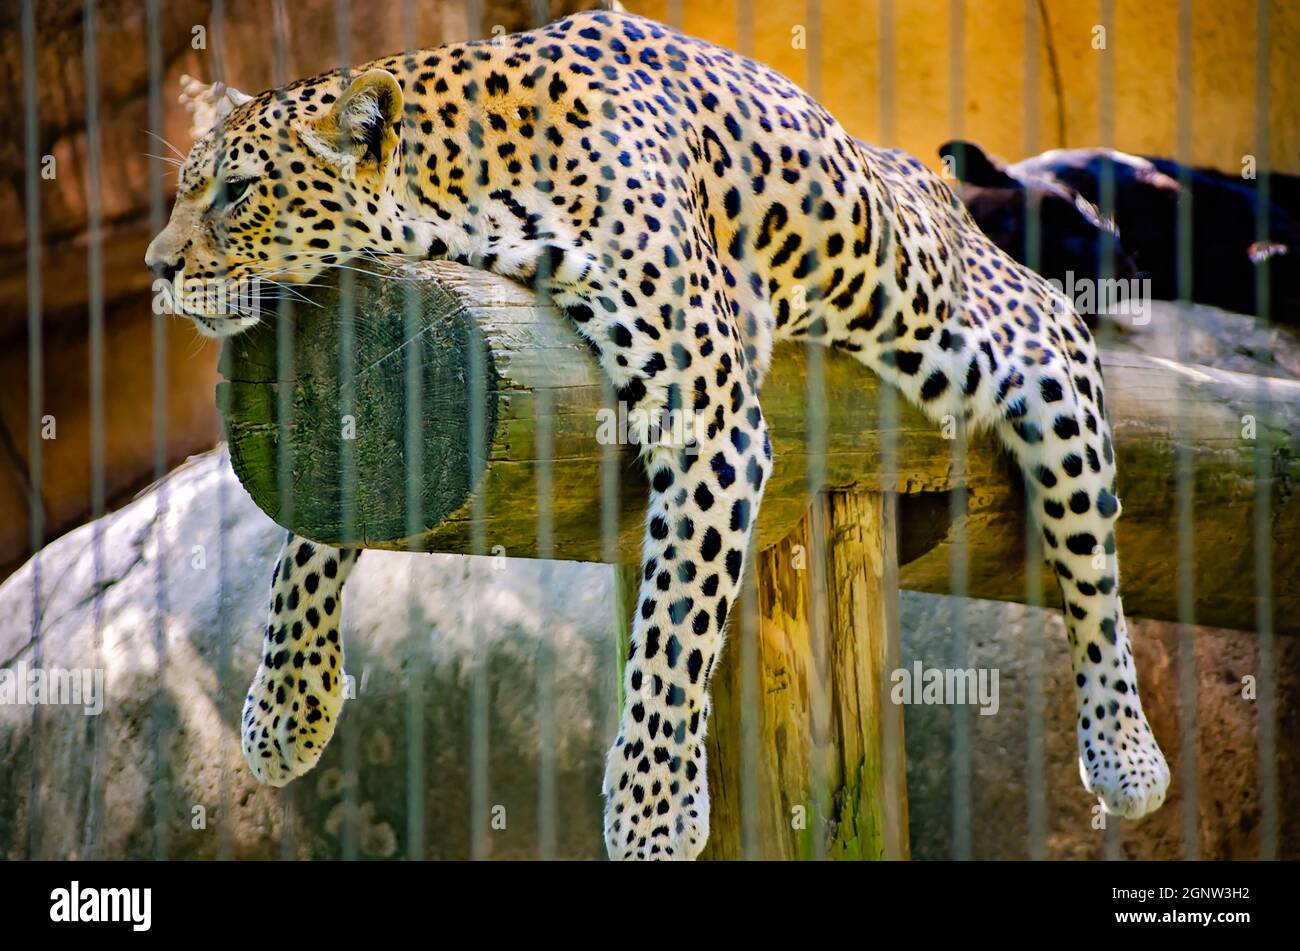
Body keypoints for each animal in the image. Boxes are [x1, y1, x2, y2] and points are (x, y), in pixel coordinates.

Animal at [147, 7, 1175, 857]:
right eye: (187, 191)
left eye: (235, 193)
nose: (156, 268)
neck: (468, 185)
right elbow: (317, 525)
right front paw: (287, 705)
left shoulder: (711, 419)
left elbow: (674, 627)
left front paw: (649, 815)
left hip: (1016, 345)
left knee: (1092, 556)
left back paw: (1126, 753)